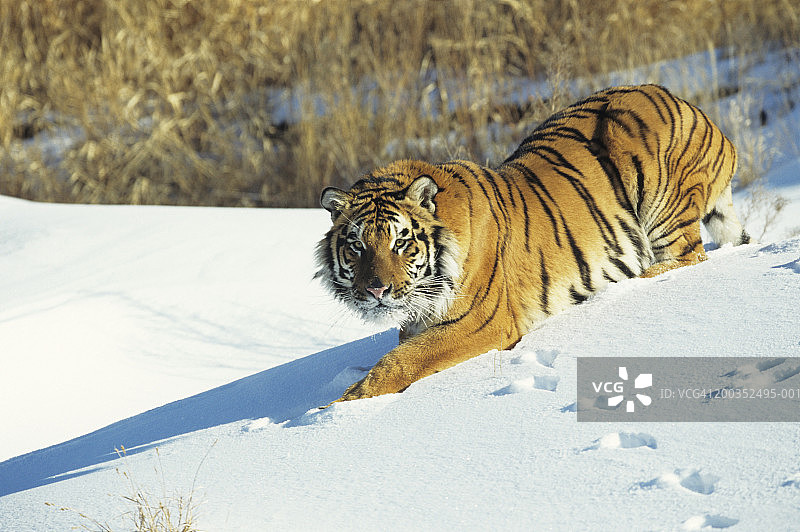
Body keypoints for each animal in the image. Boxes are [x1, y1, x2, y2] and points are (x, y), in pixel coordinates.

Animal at [316, 84, 751, 402]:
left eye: (401, 242)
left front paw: (333, 410)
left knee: (689, 257)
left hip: (655, 190)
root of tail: (700, 113)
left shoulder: (481, 321)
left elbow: (400, 362)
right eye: (357, 245)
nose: (376, 290)